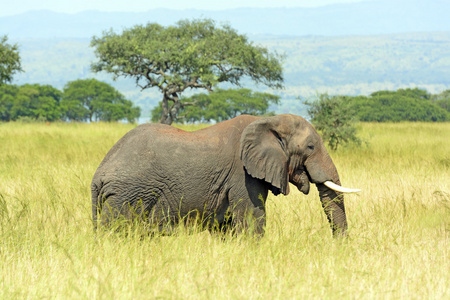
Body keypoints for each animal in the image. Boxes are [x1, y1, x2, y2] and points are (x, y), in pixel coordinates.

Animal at [90, 114, 358, 237]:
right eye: (310, 147)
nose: (338, 246)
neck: (269, 121)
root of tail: (98, 175)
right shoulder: (243, 176)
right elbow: (252, 219)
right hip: (126, 195)